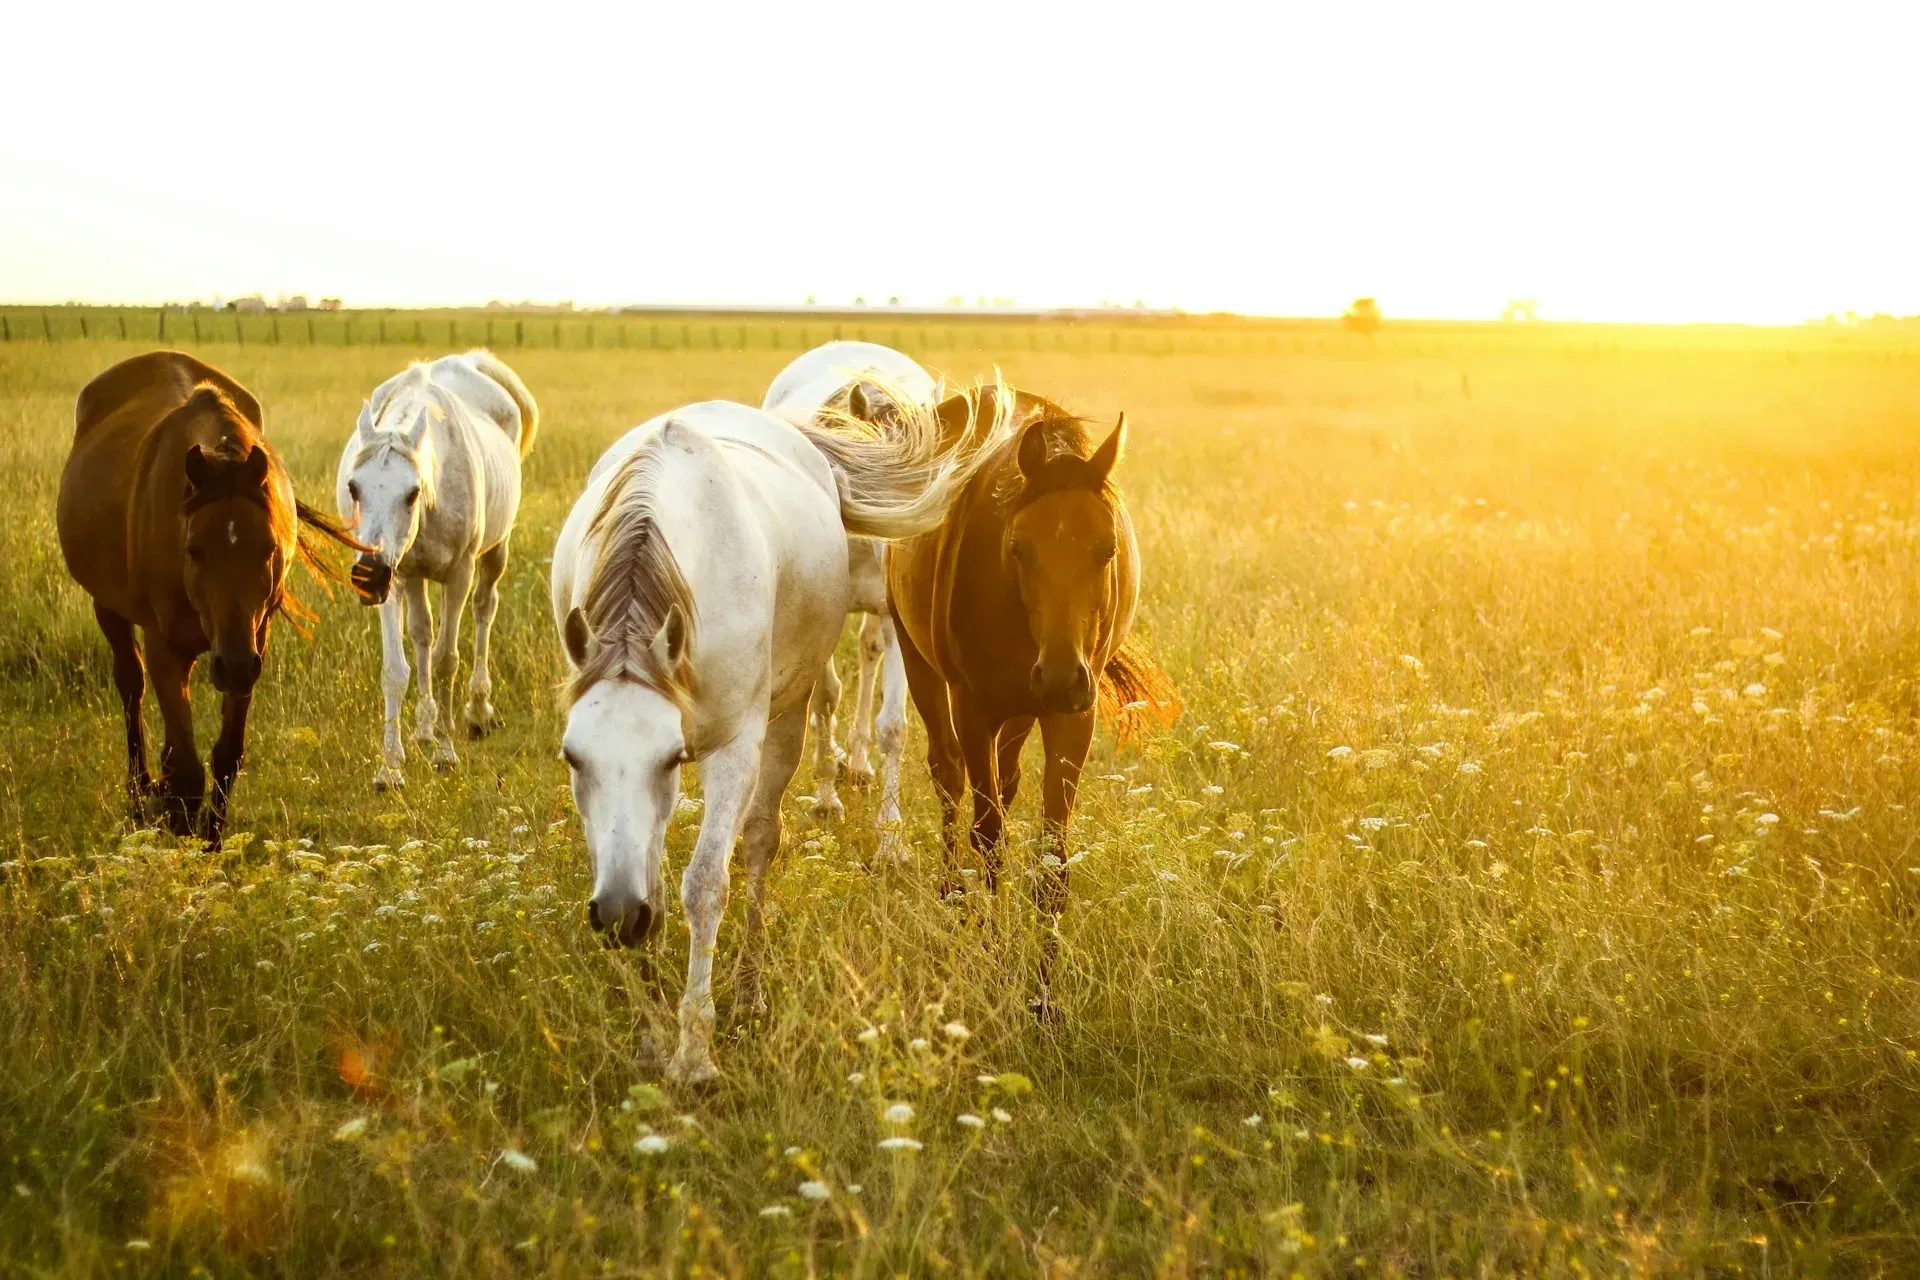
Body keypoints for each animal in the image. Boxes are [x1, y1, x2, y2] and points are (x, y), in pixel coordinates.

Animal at [56, 351, 368, 843]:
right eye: (194, 550)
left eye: (269, 548)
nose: (232, 665)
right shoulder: (166, 646)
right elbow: (186, 769)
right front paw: (178, 834)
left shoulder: (255, 643)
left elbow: (226, 754)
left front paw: (211, 841)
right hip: (107, 607)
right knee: (131, 686)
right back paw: (140, 792)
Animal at [334, 350, 539, 789]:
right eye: (354, 487)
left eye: (412, 492)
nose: (367, 576)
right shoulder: (395, 579)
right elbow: (396, 668)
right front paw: (390, 767)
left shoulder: (458, 575)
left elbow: (447, 659)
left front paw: (446, 754)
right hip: (411, 577)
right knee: (422, 634)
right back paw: (425, 726)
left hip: (495, 552)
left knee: (483, 610)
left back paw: (477, 711)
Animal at [551, 391, 1005, 1083]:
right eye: (573, 758)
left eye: (672, 758)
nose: (619, 917)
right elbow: (639, 871)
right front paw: (650, 1031)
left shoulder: (735, 748)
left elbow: (706, 884)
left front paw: (694, 1053)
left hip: (786, 721)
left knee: (762, 841)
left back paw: (748, 990)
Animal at [761, 341, 935, 828]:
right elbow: (825, 700)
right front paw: (826, 801)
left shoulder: (895, 619)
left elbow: (893, 725)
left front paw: (890, 832)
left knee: (869, 650)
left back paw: (858, 764)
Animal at [885, 385, 1181, 1012]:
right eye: (1018, 548)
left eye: (1107, 549)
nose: (1061, 677)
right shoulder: (974, 708)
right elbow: (991, 840)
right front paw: (994, 960)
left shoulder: (1072, 718)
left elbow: (1051, 861)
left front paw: (1044, 1001)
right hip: (917, 659)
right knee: (948, 776)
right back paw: (949, 897)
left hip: (1023, 711)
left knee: (1004, 778)